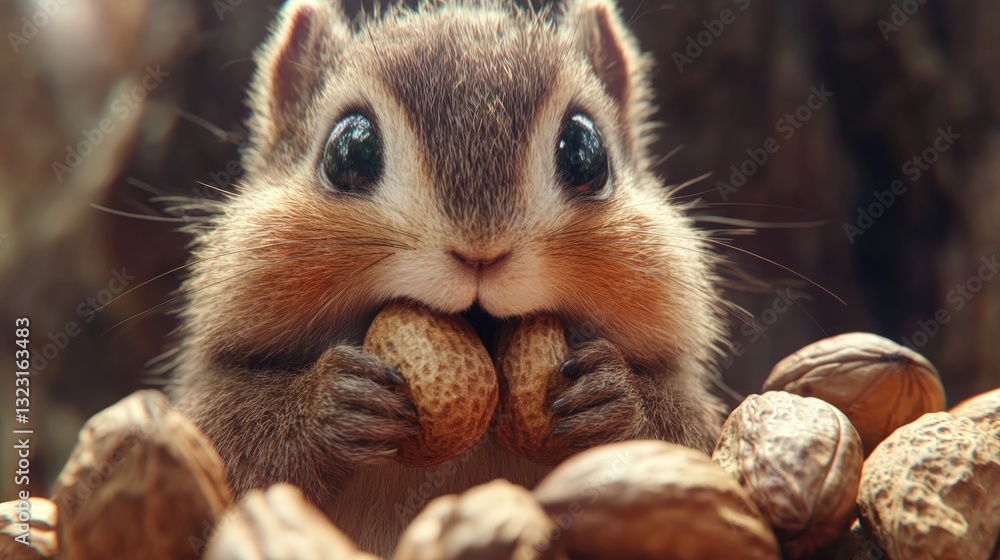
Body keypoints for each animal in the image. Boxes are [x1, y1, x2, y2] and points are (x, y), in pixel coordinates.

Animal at [171, 0, 729, 555]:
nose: (481, 250)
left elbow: (683, 439)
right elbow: (234, 447)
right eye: (349, 153)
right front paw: (328, 404)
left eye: (586, 152)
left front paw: (616, 399)